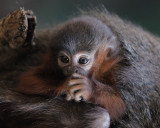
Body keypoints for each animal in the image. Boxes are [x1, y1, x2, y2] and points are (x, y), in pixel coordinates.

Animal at [0, 7, 160, 127]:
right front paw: (65, 85)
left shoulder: (117, 70)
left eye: (83, 60)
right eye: (65, 59)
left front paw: (88, 88)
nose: (72, 69)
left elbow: (120, 106)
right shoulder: (50, 59)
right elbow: (27, 80)